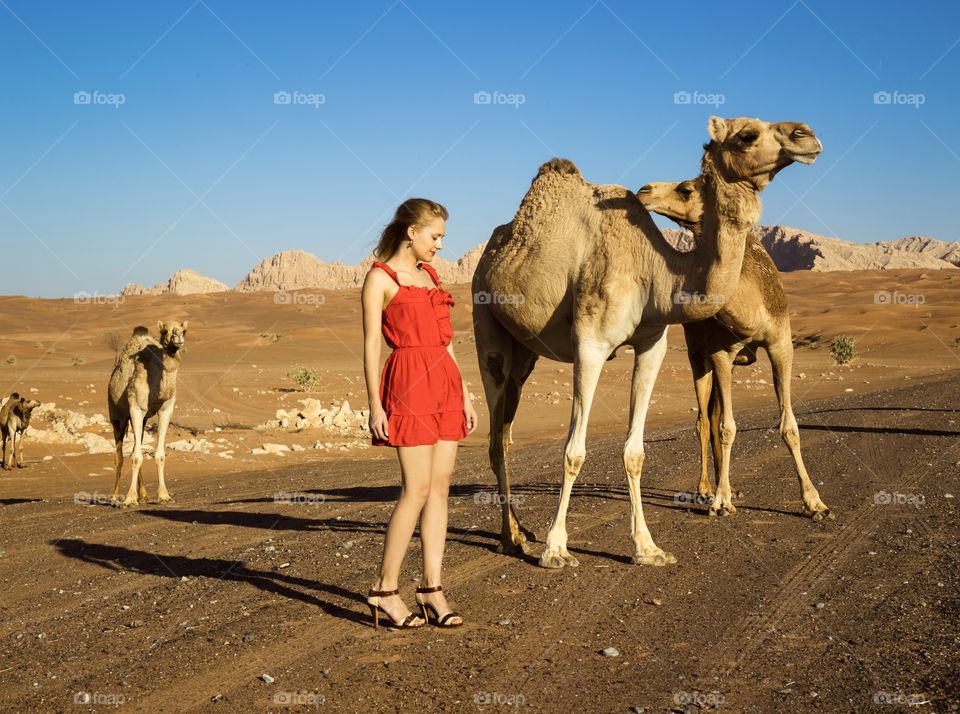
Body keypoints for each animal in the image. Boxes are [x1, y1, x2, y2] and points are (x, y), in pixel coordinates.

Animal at [107, 321, 187, 507]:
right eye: (164, 331)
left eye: (184, 330)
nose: (178, 337)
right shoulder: (136, 408)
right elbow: (136, 457)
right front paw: (129, 499)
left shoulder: (166, 409)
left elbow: (159, 455)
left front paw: (164, 495)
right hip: (117, 415)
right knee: (119, 455)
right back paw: (115, 496)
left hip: (142, 420)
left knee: (136, 446)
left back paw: (143, 494)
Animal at [637, 177, 830, 519]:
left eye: (685, 189)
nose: (644, 190)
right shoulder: (720, 353)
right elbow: (727, 427)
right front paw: (720, 502)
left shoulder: (781, 345)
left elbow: (790, 427)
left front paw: (814, 502)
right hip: (697, 354)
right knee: (704, 420)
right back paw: (706, 490)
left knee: (712, 415)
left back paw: (725, 486)